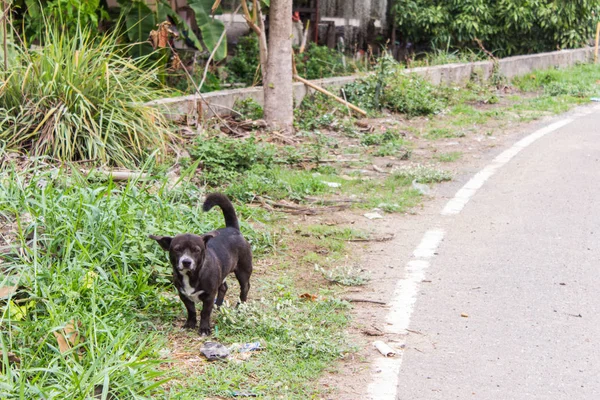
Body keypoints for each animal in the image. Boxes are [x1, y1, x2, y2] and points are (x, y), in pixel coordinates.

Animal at [152, 192, 253, 336]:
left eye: (196, 250)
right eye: (177, 249)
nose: (186, 261)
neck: (191, 276)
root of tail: (233, 229)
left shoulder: (209, 296)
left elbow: (205, 313)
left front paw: (204, 329)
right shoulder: (184, 296)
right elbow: (191, 311)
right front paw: (190, 324)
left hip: (243, 271)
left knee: (244, 288)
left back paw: (240, 307)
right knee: (224, 287)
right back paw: (218, 305)